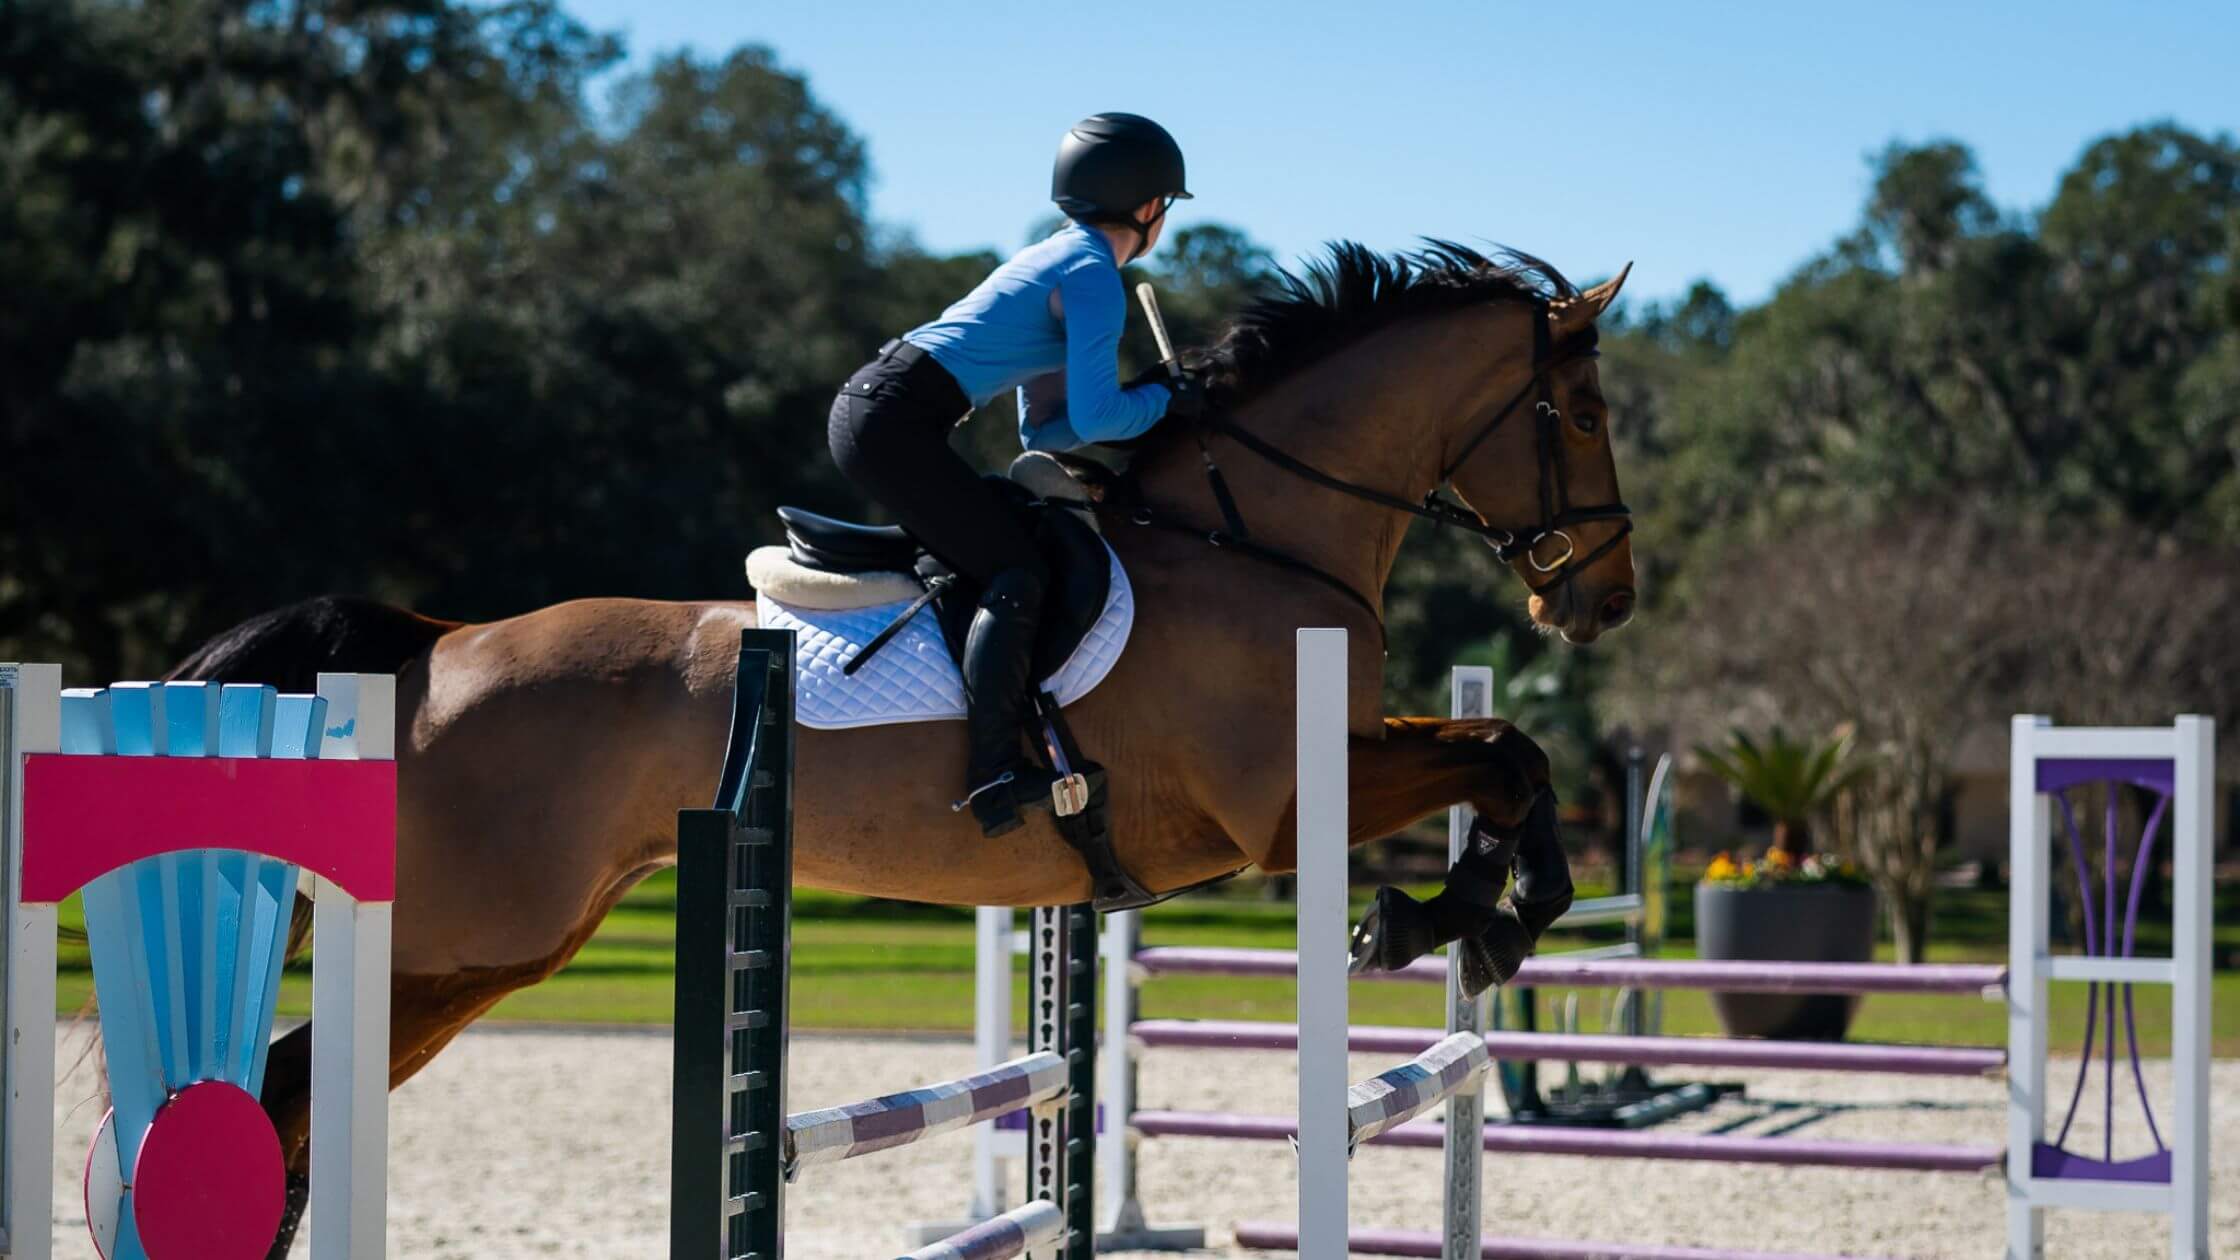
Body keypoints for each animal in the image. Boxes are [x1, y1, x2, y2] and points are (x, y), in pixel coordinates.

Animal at [170, 242, 1636, 1253]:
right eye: (1580, 417)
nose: (1607, 601)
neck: (1252, 535)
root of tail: (432, 645)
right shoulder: (1284, 809)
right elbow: (1501, 756)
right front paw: (1450, 917)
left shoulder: (1337, 760)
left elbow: (1510, 751)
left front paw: (1475, 919)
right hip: (460, 941)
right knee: (292, 1093)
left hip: (501, 948)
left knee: (295, 1102)